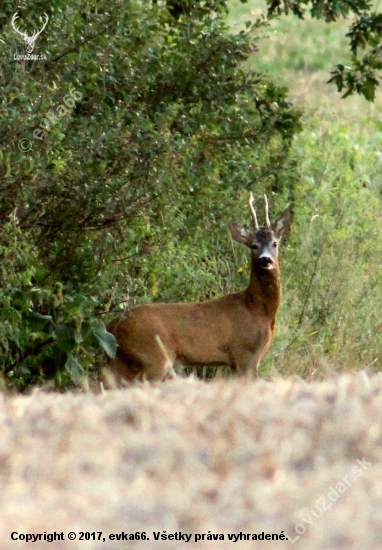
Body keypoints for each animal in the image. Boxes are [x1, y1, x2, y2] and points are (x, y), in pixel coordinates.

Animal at [106, 194, 290, 384]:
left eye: (275, 243)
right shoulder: (245, 353)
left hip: (120, 361)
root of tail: (113, 325)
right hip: (154, 356)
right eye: (254, 245)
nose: (265, 260)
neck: (257, 309)